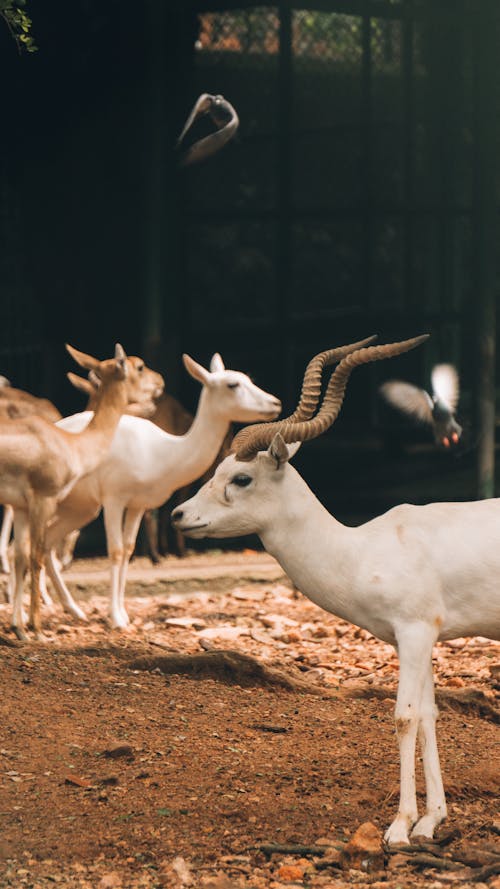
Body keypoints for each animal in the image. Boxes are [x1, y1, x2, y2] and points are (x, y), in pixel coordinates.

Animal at [172, 334, 500, 848]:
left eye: (241, 478)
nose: (179, 515)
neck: (361, 550)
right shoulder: (421, 638)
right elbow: (429, 715)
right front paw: (431, 821)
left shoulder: (413, 632)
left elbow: (404, 717)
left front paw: (400, 827)